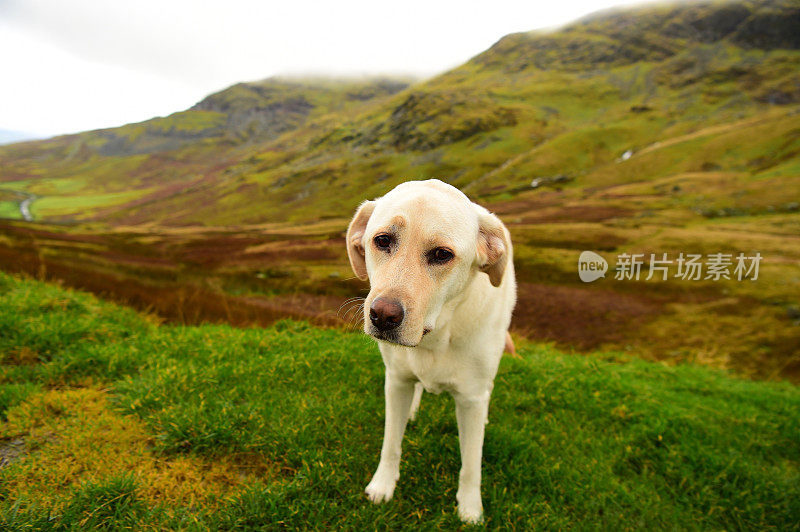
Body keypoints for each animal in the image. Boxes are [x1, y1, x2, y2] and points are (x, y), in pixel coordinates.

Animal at [346, 180, 516, 524]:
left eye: (442, 254)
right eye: (382, 240)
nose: (382, 316)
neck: (436, 334)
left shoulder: (472, 398)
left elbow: (471, 463)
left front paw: (470, 509)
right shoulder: (396, 381)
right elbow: (391, 443)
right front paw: (383, 485)